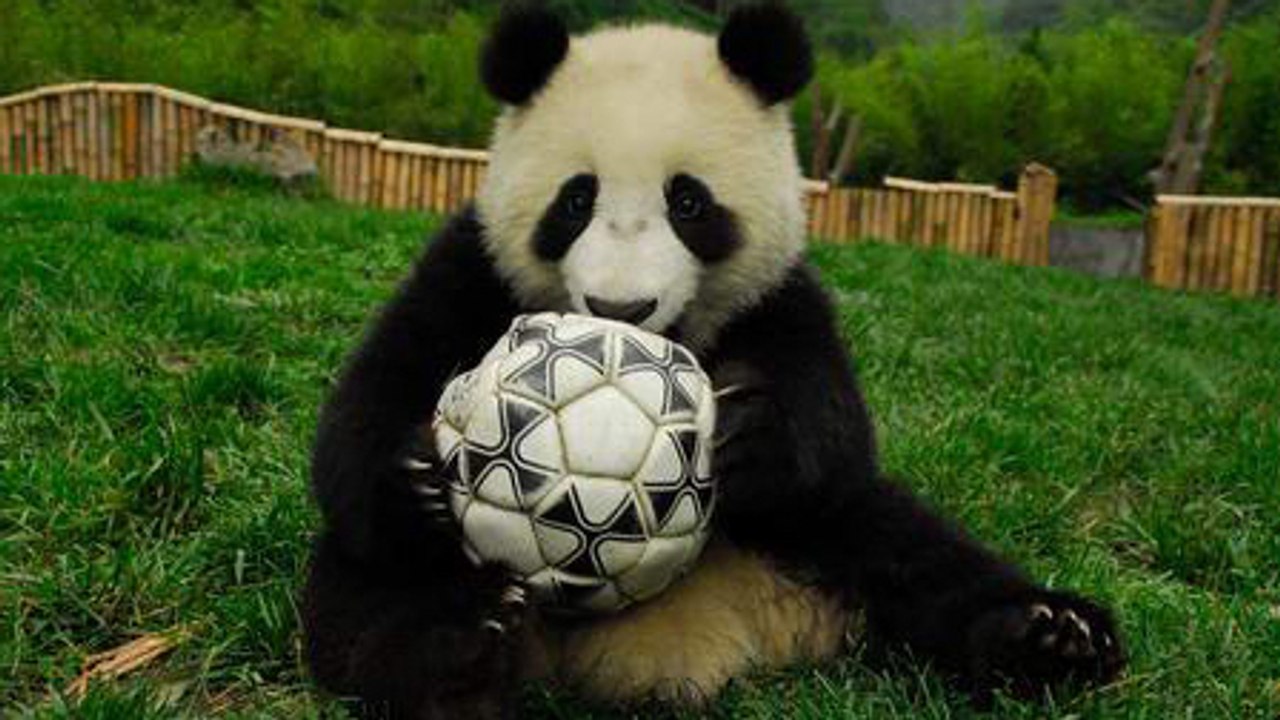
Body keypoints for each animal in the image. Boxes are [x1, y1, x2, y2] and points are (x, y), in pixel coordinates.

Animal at [302, 4, 1125, 718]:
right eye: (576, 200)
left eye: (688, 203)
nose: (620, 310)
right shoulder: (473, 269)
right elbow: (369, 407)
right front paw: (416, 474)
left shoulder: (779, 295)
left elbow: (835, 429)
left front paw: (750, 435)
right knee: (373, 588)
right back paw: (458, 662)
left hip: (820, 540)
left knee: (904, 543)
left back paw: (1051, 637)